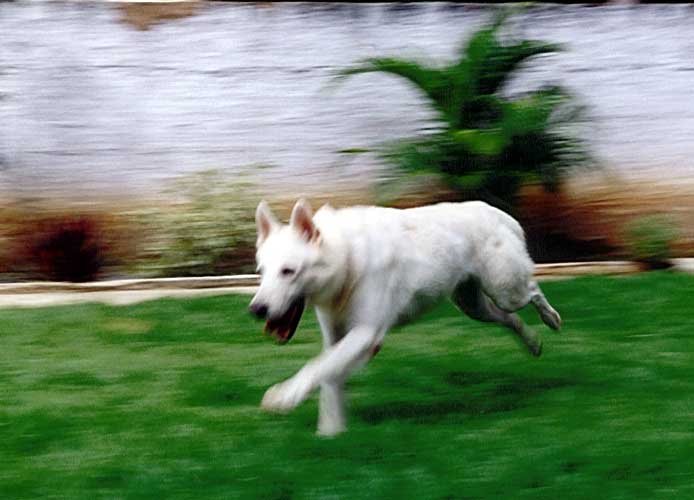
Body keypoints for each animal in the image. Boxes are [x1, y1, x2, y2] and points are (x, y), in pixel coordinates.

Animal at [250, 198, 560, 434]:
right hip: (475, 307)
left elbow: (317, 367)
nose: (256, 310)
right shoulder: (336, 337)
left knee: (533, 290)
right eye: (261, 272)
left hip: (507, 291)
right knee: (511, 320)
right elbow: (329, 375)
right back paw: (532, 343)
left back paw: (551, 318)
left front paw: (284, 396)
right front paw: (331, 431)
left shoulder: (366, 333)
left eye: (288, 271)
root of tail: (502, 216)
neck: (347, 260)